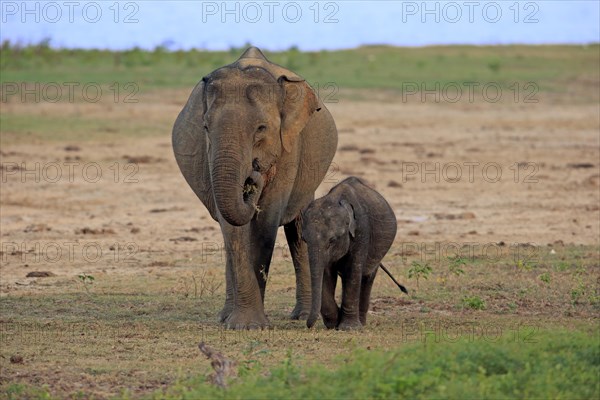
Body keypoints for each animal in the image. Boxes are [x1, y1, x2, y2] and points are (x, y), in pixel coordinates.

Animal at [171, 47, 338, 328]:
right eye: (205, 127)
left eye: (261, 128)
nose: (254, 175)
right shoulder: (209, 155)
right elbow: (232, 228)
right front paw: (244, 324)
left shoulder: (289, 146)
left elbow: (265, 223)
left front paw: (253, 325)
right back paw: (224, 316)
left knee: (298, 228)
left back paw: (302, 316)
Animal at [304, 178, 398, 332]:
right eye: (304, 239)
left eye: (332, 240)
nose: (308, 325)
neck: (336, 198)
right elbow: (326, 273)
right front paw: (333, 323)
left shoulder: (362, 231)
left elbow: (354, 270)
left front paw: (349, 328)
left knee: (366, 277)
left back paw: (361, 323)